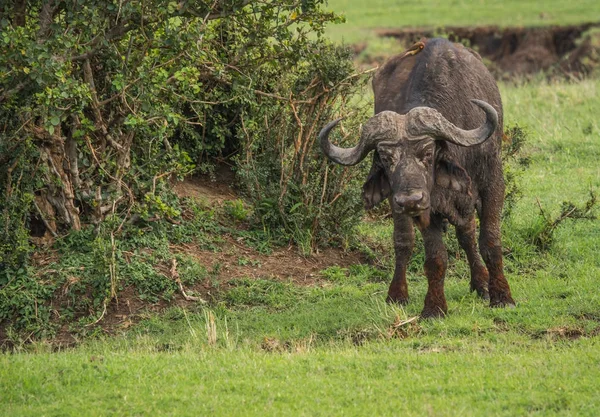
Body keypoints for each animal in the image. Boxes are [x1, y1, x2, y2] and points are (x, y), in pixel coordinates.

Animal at [318, 38, 516, 316]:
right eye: (386, 158)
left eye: (428, 152)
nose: (410, 200)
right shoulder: (426, 207)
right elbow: (435, 257)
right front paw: (434, 307)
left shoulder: (493, 183)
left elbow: (490, 240)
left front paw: (501, 295)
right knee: (405, 241)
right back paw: (397, 294)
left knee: (467, 233)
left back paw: (481, 284)